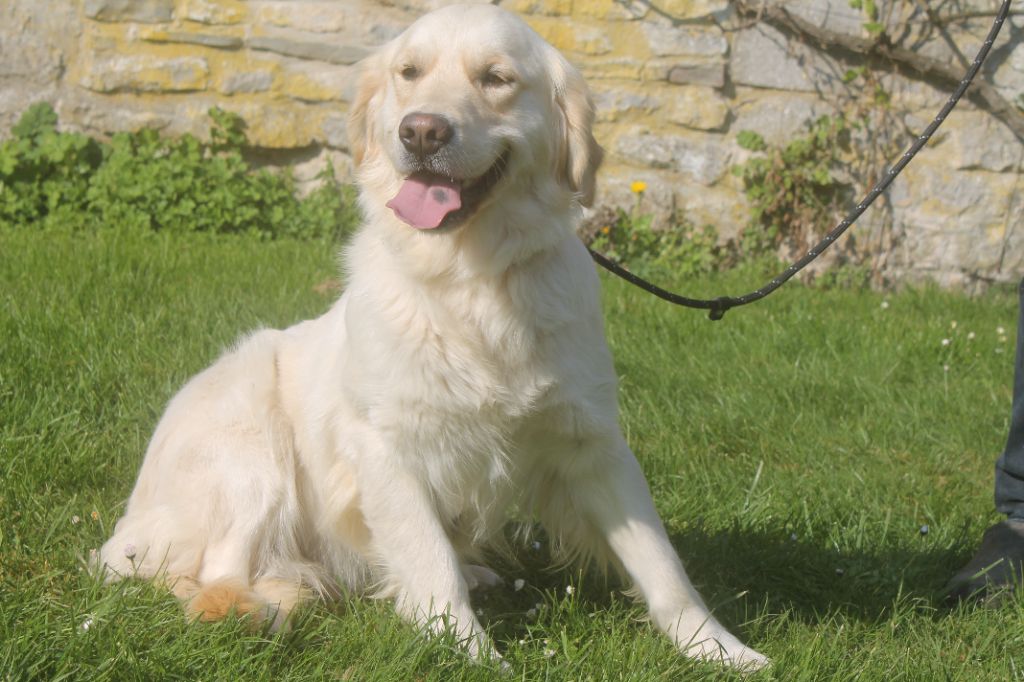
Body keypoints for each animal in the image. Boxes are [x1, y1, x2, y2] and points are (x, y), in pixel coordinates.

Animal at [97, 2, 770, 667]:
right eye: (409, 72)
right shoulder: (388, 447)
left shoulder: (592, 439)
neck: (473, 281)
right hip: (250, 442)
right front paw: (468, 653)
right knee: (213, 574)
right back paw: (256, 609)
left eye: (496, 78)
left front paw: (719, 648)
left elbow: (662, 564)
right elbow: (429, 562)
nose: (421, 132)